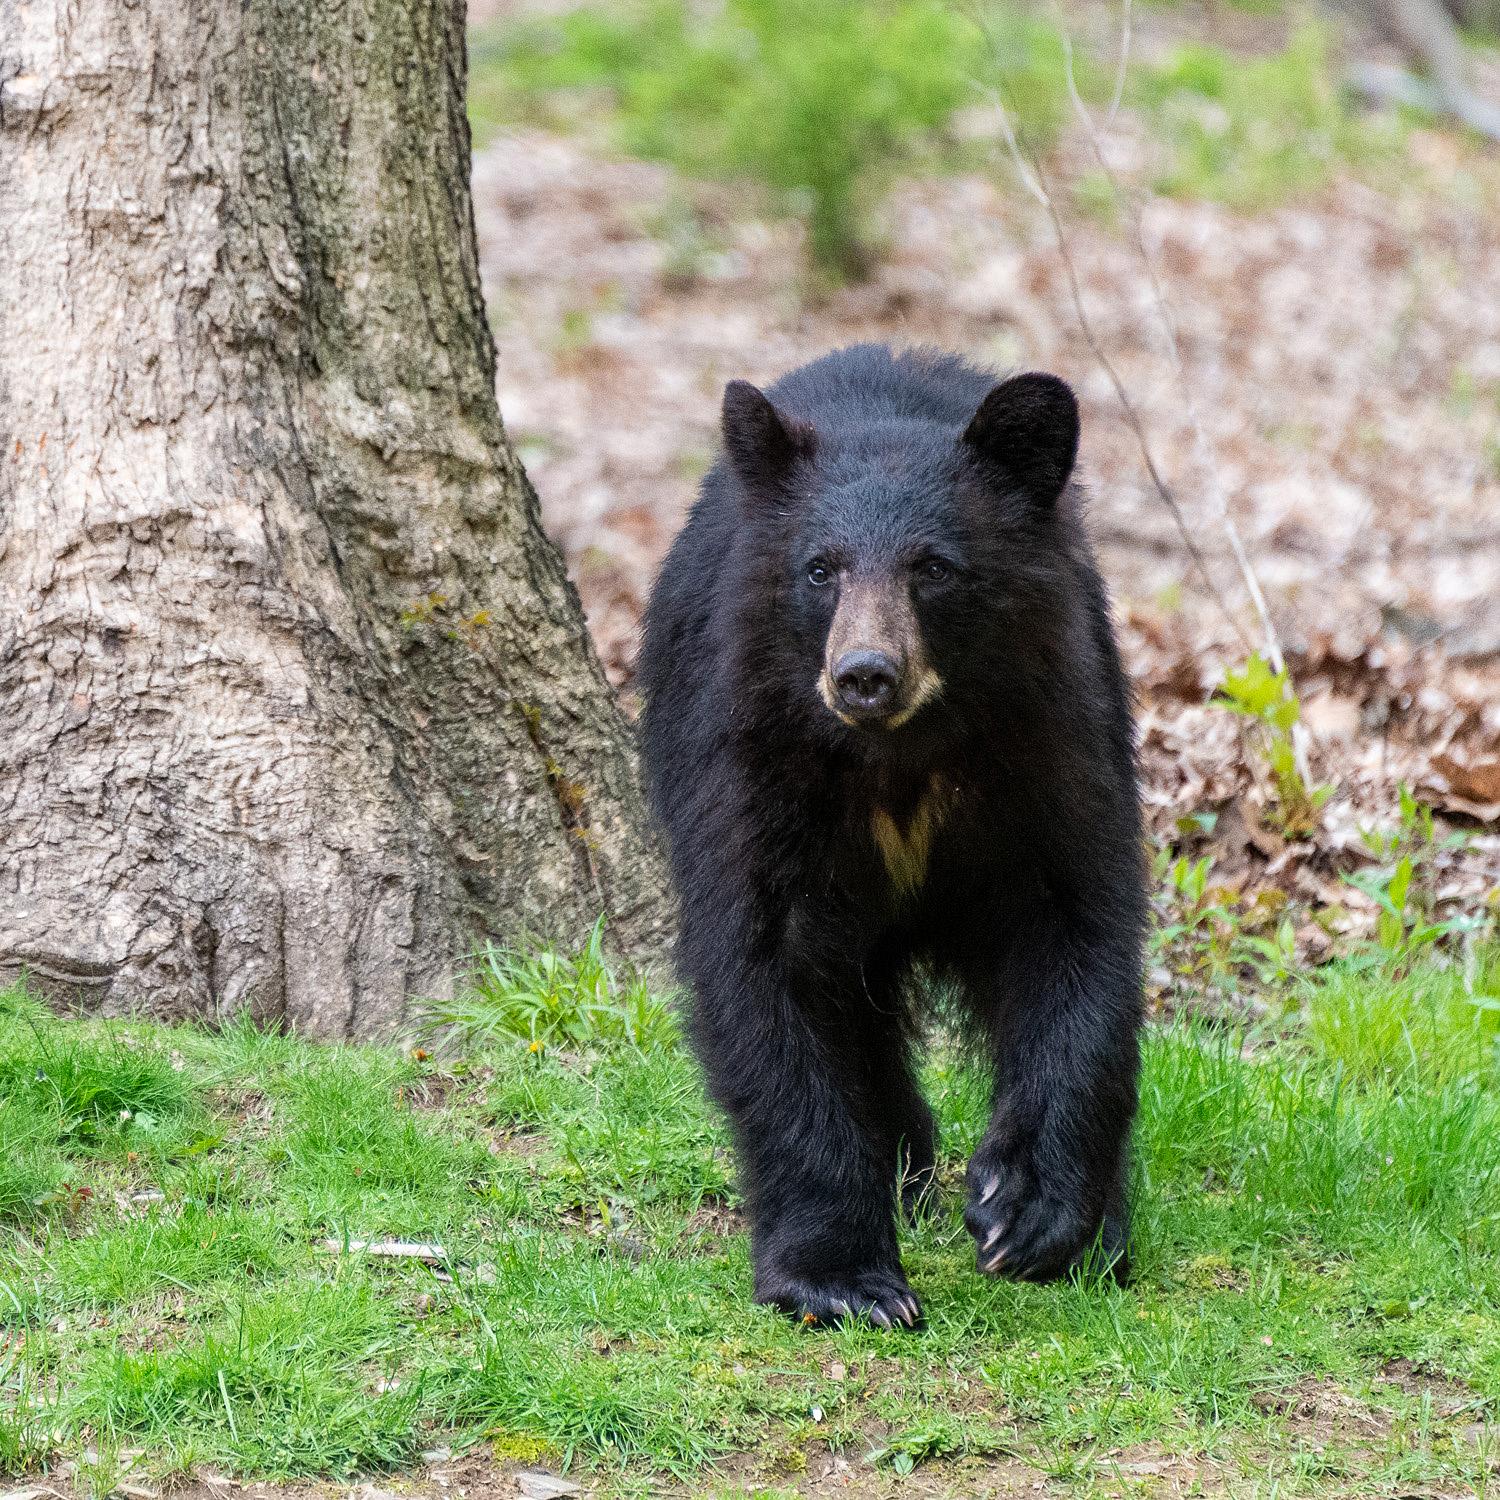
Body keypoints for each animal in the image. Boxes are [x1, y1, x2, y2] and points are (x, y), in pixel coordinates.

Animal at [639, 340, 1140, 1326]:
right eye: (820, 568)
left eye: (933, 567)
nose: (865, 672)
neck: (899, 754)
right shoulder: (750, 752)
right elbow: (766, 967)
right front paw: (845, 1278)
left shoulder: (1053, 731)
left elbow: (1078, 925)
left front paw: (1029, 1210)